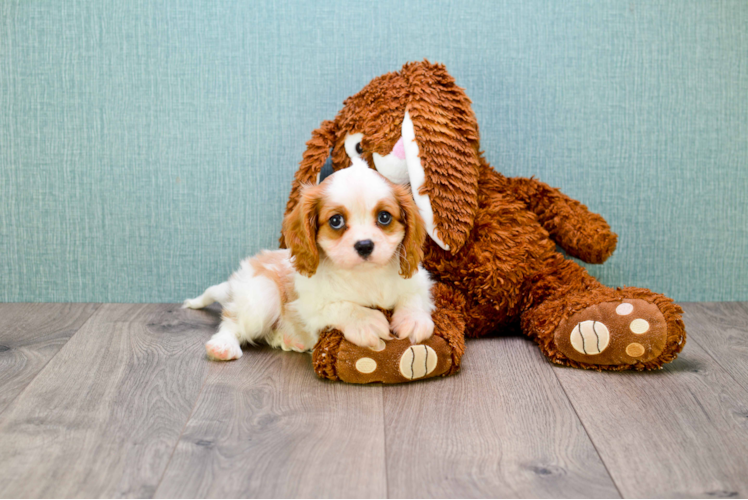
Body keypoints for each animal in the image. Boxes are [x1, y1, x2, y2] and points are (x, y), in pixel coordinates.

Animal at [183, 160, 436, 360]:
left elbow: (413, 296)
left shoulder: (418, 281)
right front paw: (366, 321)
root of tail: (237, 282)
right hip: (262, 296)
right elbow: (340, 306)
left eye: (384, 217)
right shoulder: (309, 303)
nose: (364, 245)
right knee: (232, 322)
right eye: (336, 221)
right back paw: (223, 345)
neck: (364, 275)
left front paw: (414, 319)